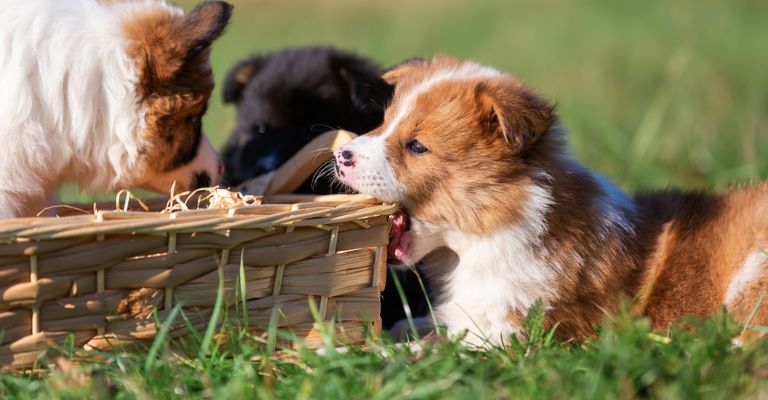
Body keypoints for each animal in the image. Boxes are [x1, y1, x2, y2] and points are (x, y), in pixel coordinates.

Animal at [334, 56, 768, 346]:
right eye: (383, 123)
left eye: (417, 145)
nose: (340, 156)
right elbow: (423, 324)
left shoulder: (512, 332)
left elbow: (439, 348)